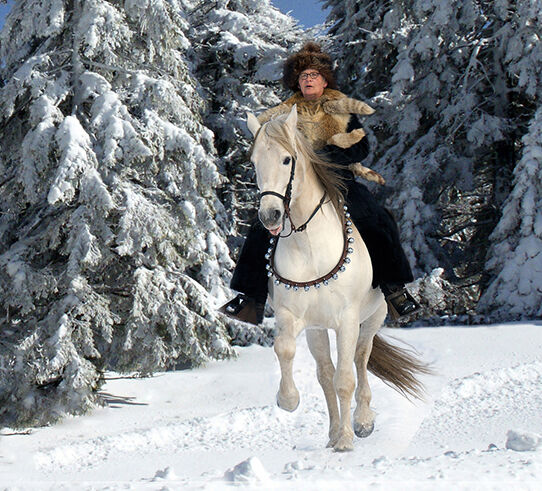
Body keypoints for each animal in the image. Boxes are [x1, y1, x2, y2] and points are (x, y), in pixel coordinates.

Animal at [249, 106, 432, 454]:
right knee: (325, 374)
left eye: (287, 159)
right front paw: (288, 400)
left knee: (360, 360)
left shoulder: (347, 320)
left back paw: (361, 422)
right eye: (254, 161)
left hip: (372, 318)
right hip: (318, 330)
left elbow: (346, 379)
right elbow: (285, 350)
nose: (270, 215)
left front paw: (349, 437)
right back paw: (334, 431)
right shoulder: (292, 316)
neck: (309, 245)